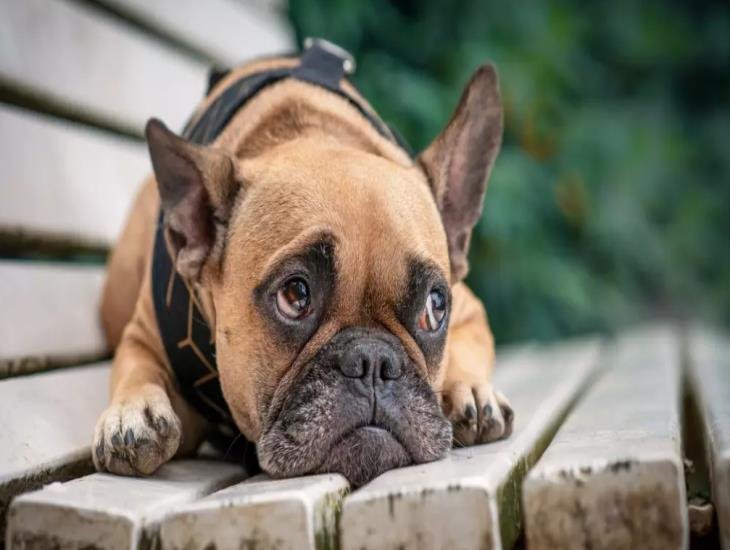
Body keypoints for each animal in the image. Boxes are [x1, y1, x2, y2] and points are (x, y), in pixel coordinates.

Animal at [92, 40, 512, 488]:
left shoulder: (468, 307)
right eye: (295, 295)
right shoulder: (143, 334)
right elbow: (136, 366)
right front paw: (132, 411)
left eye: (435, 308)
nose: (374, 362)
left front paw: (471, 389)